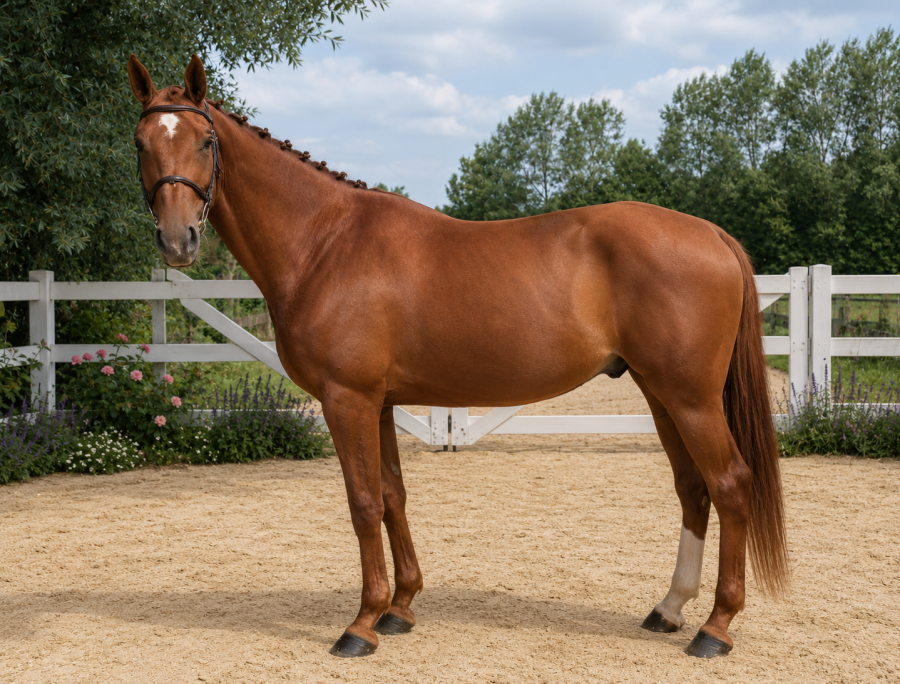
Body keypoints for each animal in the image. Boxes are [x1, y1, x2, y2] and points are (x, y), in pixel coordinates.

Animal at [127, 54, 788, 659]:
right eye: (140, 143)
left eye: (206, 140)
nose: (178, 240)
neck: (325, 241)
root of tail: (711, 233)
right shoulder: (380, 404)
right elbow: (392, 496)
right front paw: (400, 609)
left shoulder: (347, 400)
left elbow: (363, 503)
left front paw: (361, 624)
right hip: (660, 394)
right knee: (693, 488)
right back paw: (669, 608)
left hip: (690, 398)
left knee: (730, 484)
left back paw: (715, 628)